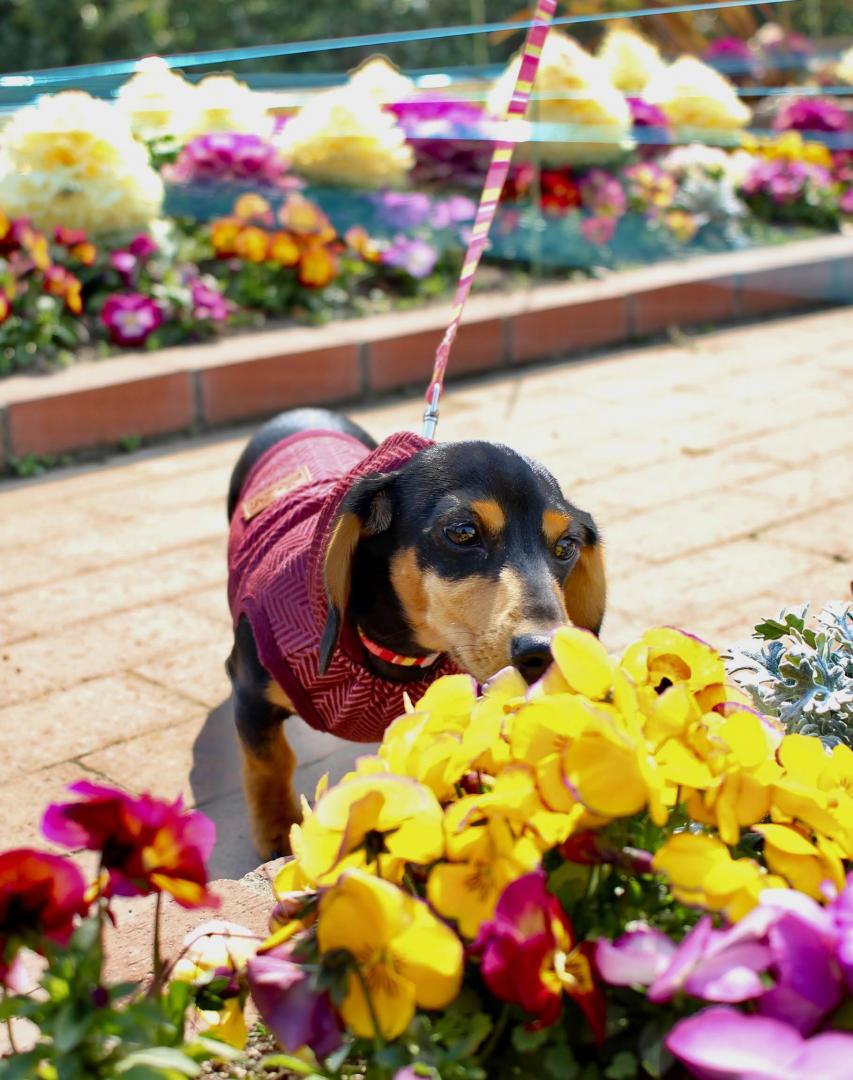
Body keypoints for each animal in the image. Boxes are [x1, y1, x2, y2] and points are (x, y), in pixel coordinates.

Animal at [223, 406, 604, 859]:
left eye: (566, 546)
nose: (545, 651)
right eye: (462, 532)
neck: (392, 657)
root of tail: (302, 413)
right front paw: (278, 833)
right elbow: (269, 762)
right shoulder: (251, 694)